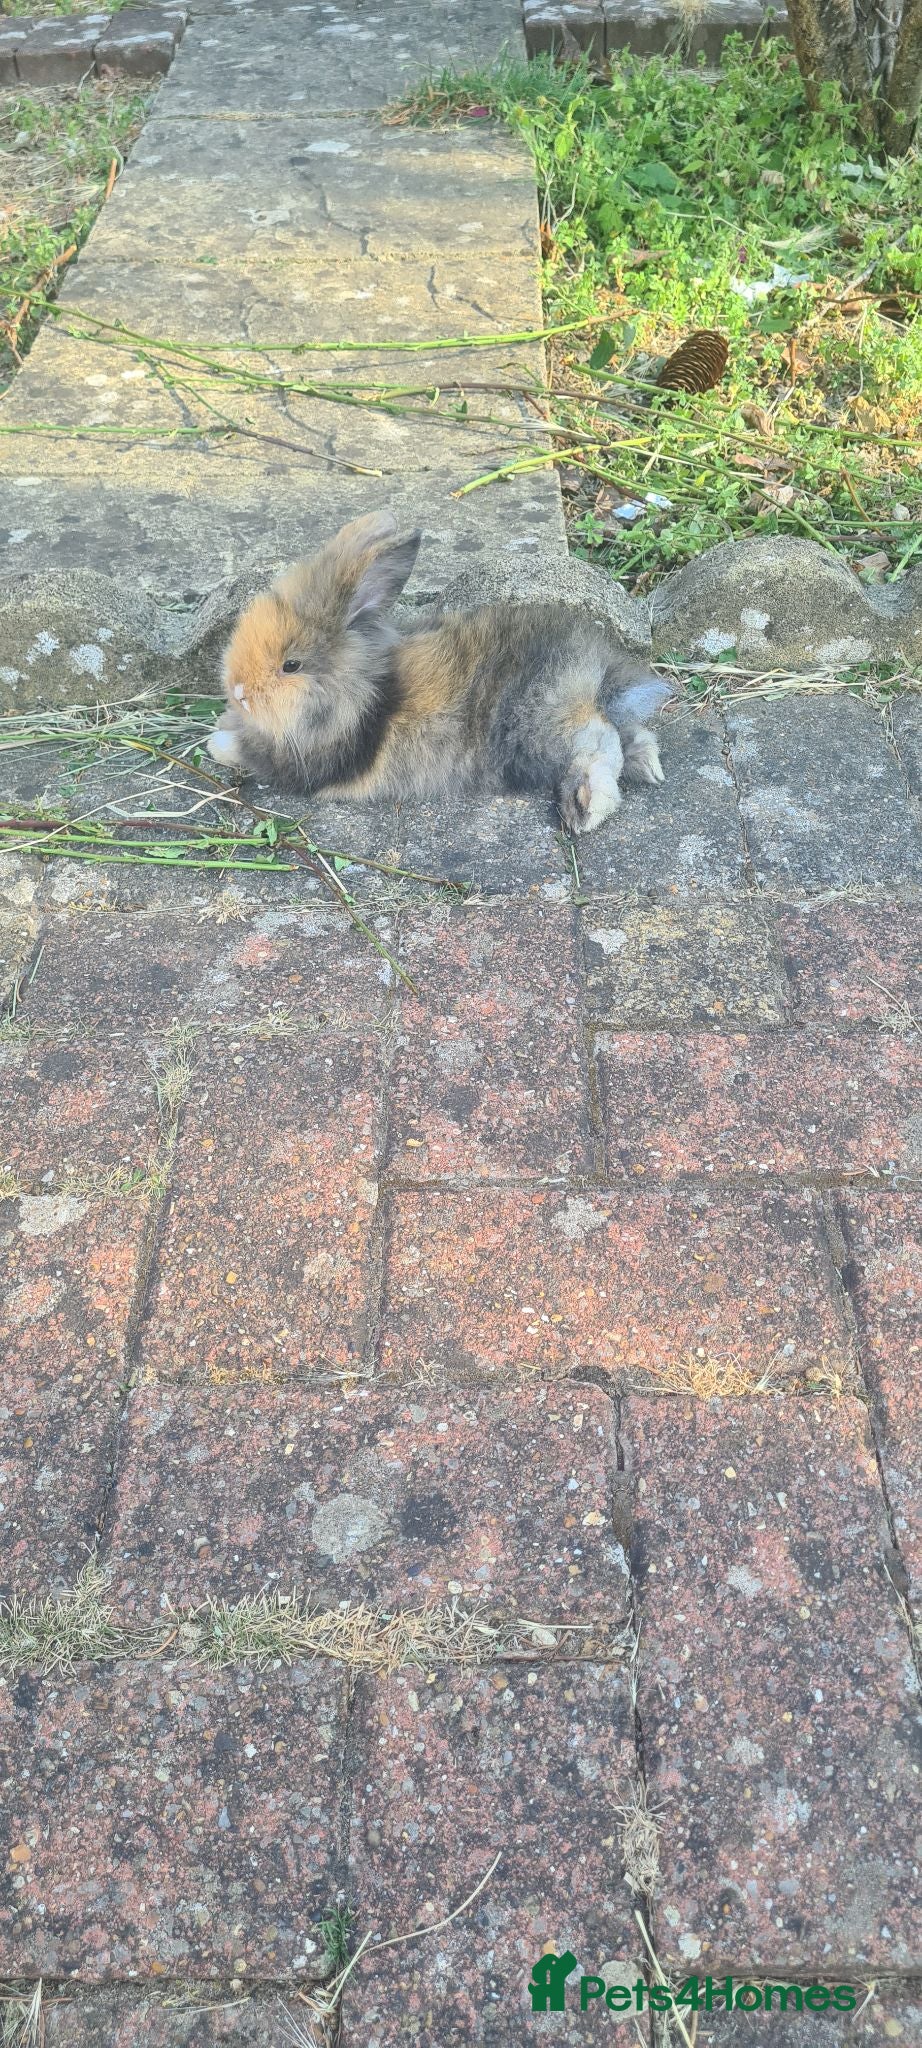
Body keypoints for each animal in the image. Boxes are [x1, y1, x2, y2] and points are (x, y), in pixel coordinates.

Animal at [207, 510, 672, 833]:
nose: (238, 690)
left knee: (599, 740)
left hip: (541, 723)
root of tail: (594, 666)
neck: (357, 688)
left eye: (292, 665)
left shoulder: (308, 761)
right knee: (626, 733)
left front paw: (216, 740)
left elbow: (247, 753)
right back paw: (648, 767)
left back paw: (584, 808)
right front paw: (222, 722)